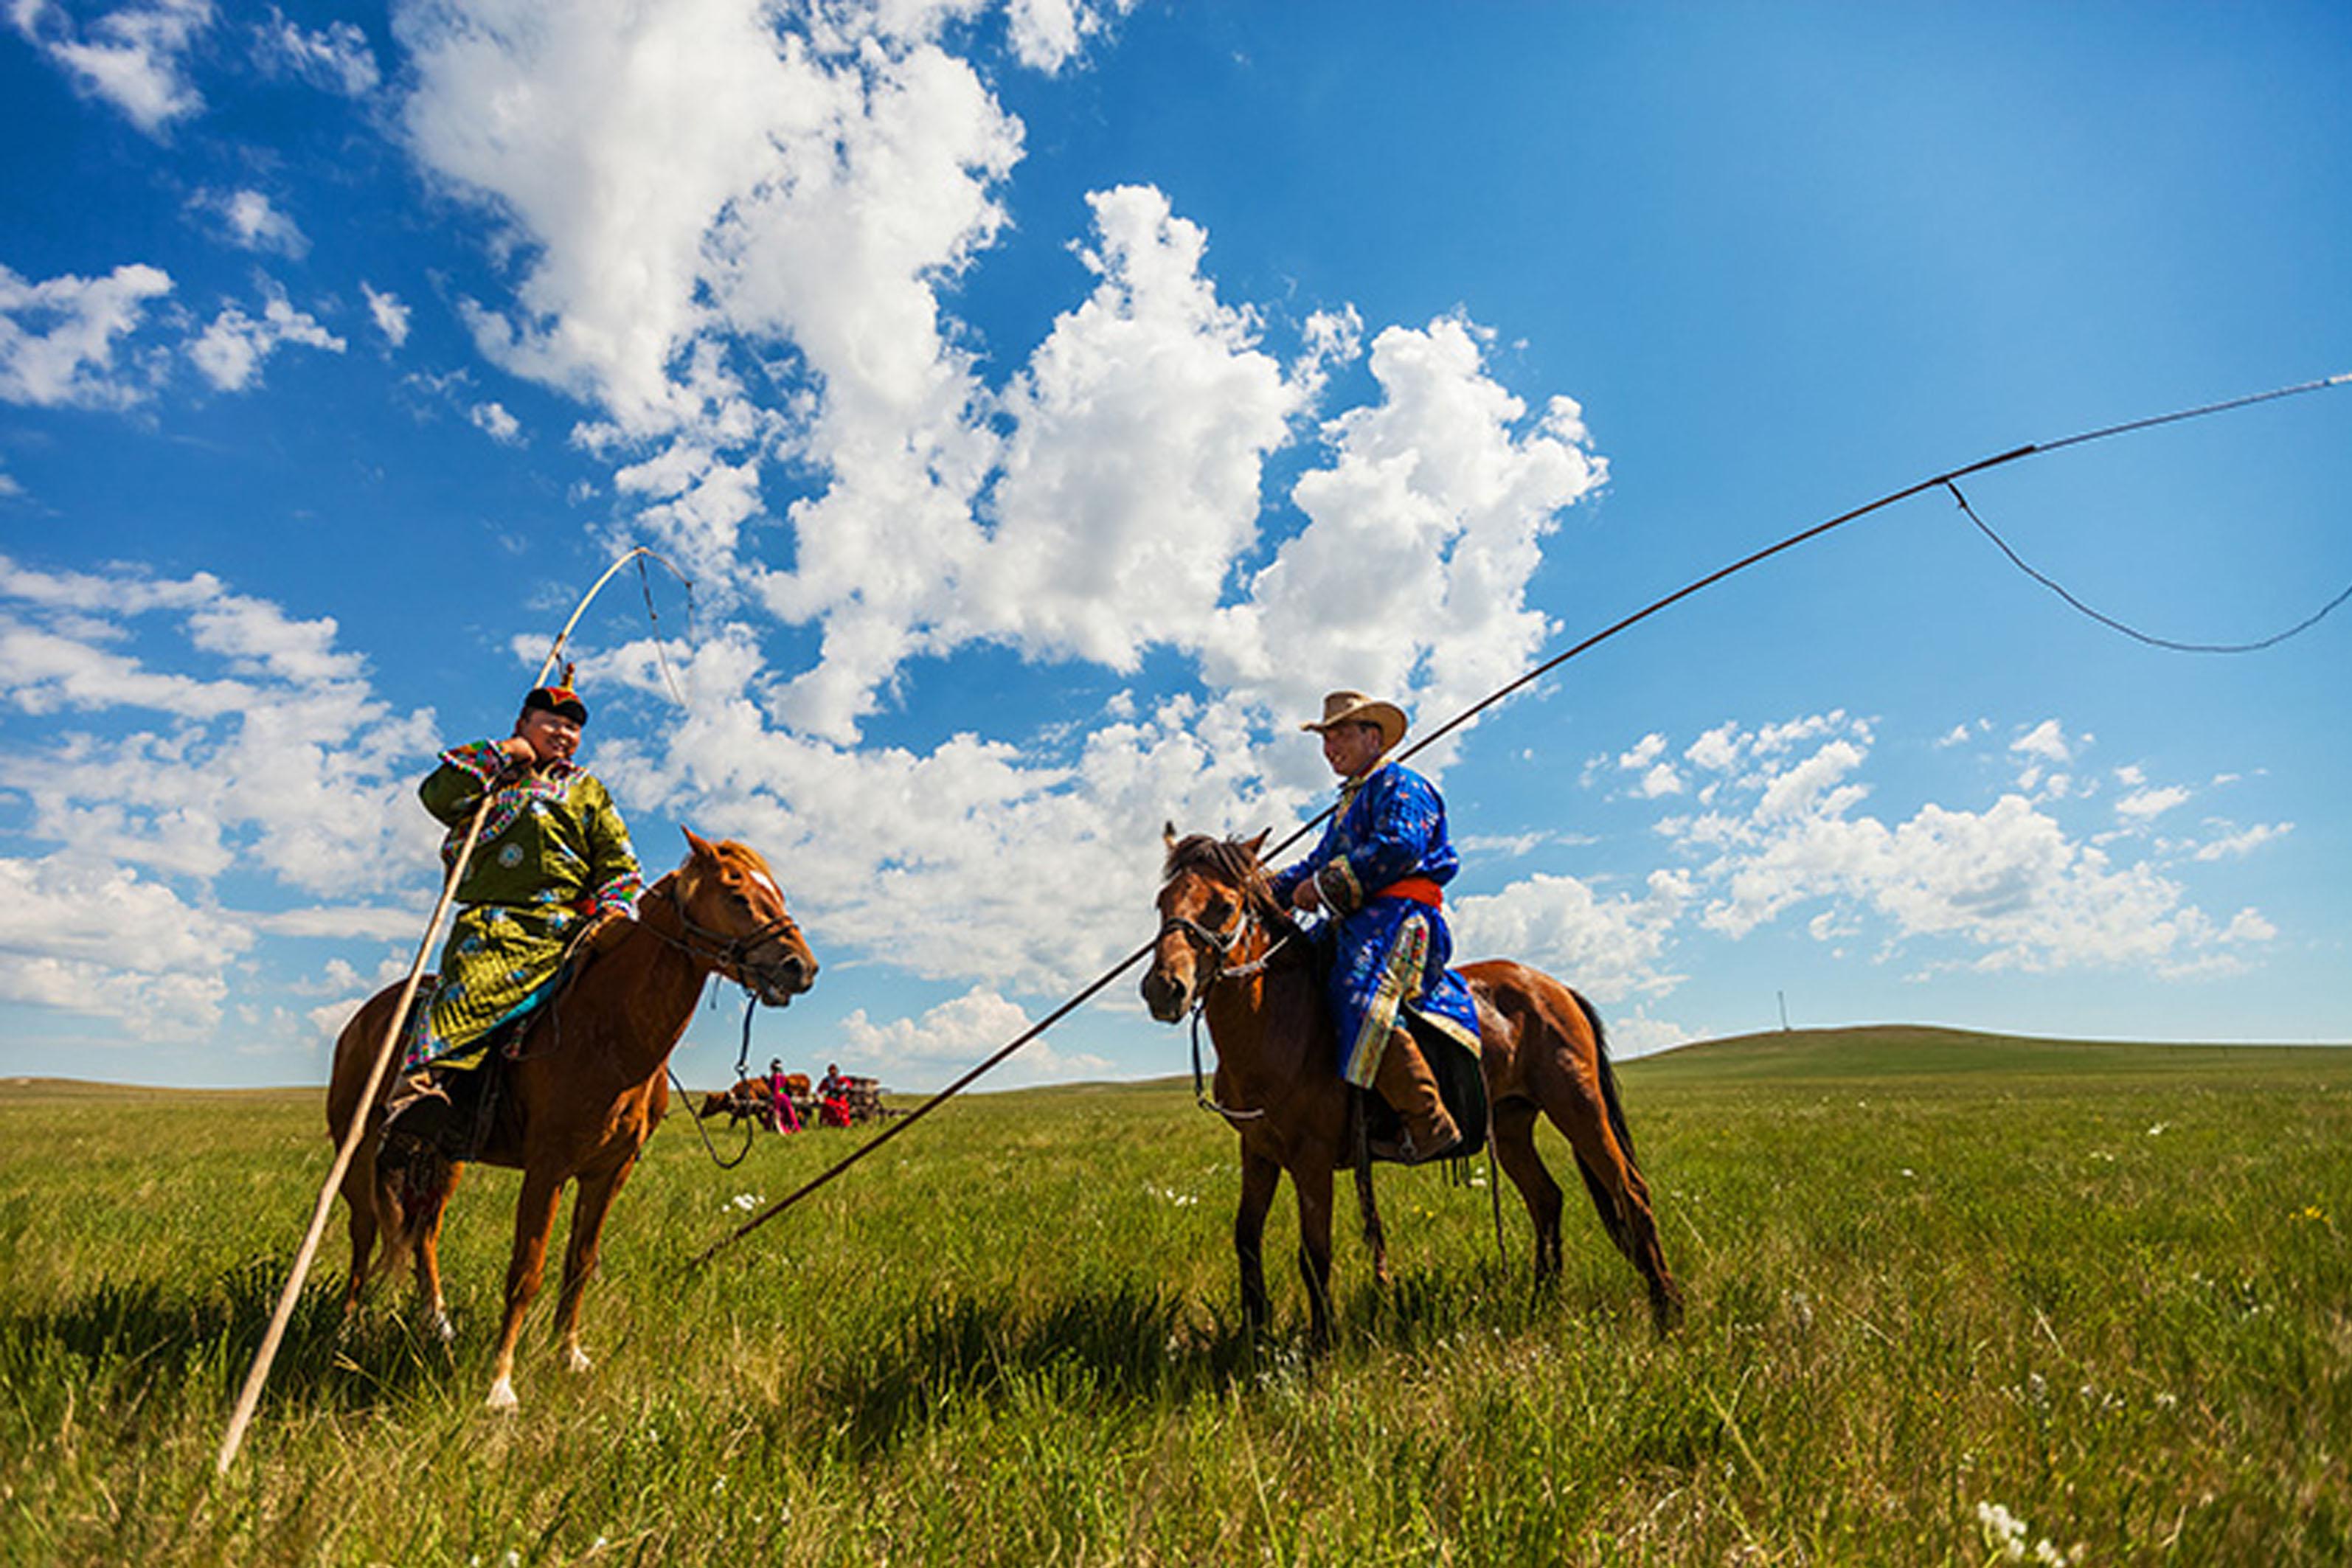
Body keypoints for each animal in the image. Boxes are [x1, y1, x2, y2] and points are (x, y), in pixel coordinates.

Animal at [325, 832, 818, 1410]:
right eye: (737, 896)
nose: (801, 968)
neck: (610, 1031)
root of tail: (362, 1021)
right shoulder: (548, 1168)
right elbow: (527, 1271)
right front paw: (501, 1384)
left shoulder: (609, 1172)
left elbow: (579, 1264)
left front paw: (570, 1356)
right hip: (357, 1148)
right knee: (364, 1229)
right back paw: (347, 1329)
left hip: (444, 1157)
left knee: (425, 1233)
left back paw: (437, 1323)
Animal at [1142, 832, 1684, 1353]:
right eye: (1162, 902)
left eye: (1223, 905)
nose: (1163, 989)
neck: (1278, 1021)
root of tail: (1555, 988)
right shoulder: (1257, 1150)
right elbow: (1247, 1239)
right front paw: (1253, 1337)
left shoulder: (1311, 1158)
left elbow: (1313, 1253)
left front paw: (1320, 1350)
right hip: (1511, 1124)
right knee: (1547, 1199)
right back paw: (1542, 1300)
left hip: (1578, 1106)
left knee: (1630, 1192)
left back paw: (1668, 1313)